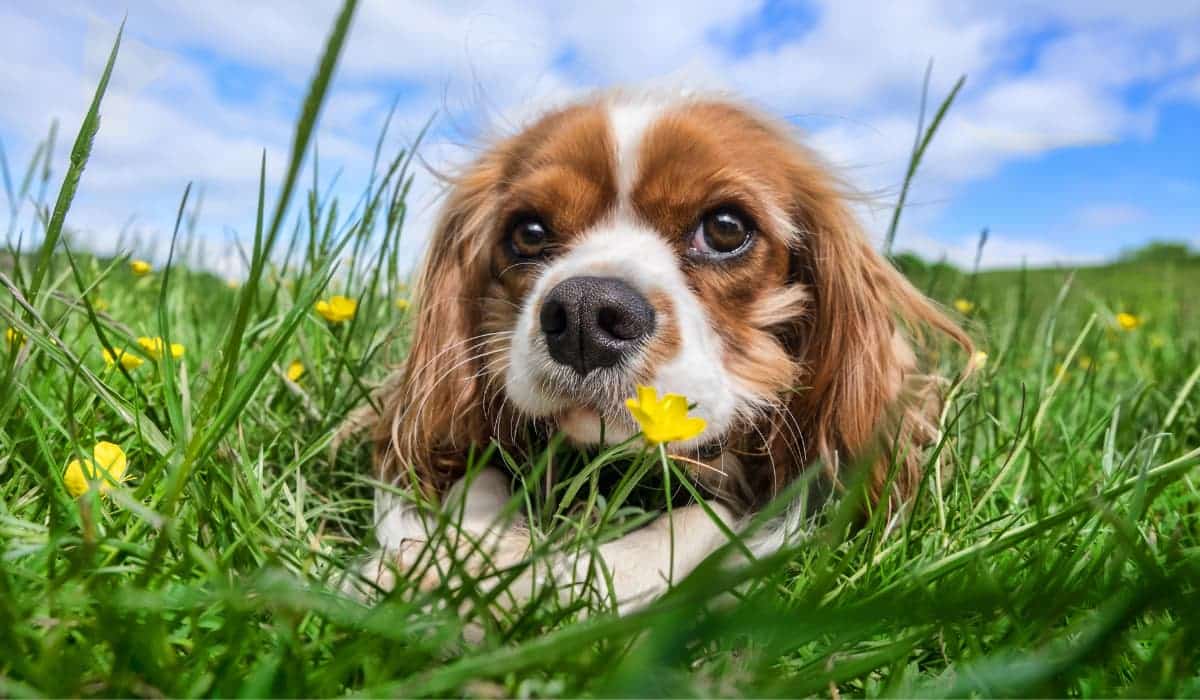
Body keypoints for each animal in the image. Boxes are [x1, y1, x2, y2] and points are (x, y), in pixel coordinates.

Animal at [350, 90, 969, 614]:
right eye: (528, 232)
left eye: (726, 228)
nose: (584, 313)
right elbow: (471, 482)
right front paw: (450, 557)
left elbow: (700, 522)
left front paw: (547, 581)